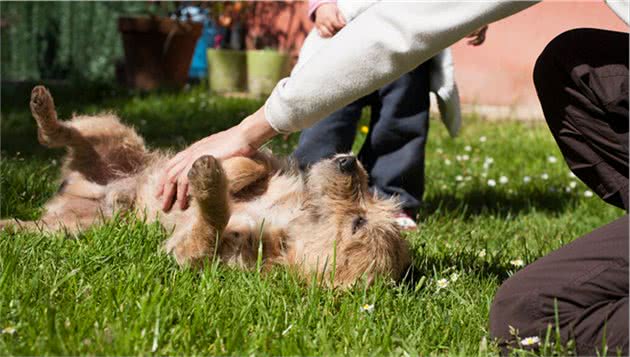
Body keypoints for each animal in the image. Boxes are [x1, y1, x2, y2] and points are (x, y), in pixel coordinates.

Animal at [1, 85, 414, 286]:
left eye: (358, 223)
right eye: (370, 202)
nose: (350, 162)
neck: (287, 221)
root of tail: (71, 187)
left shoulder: (189, 253)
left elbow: (210, 224)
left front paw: (208, 185)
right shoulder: (264, 164)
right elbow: (247, 163)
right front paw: (218, 174)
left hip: (69, 228)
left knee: (32, 221)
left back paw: (10, 224)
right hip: (111, 132)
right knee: (62, 133)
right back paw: (43, 107)